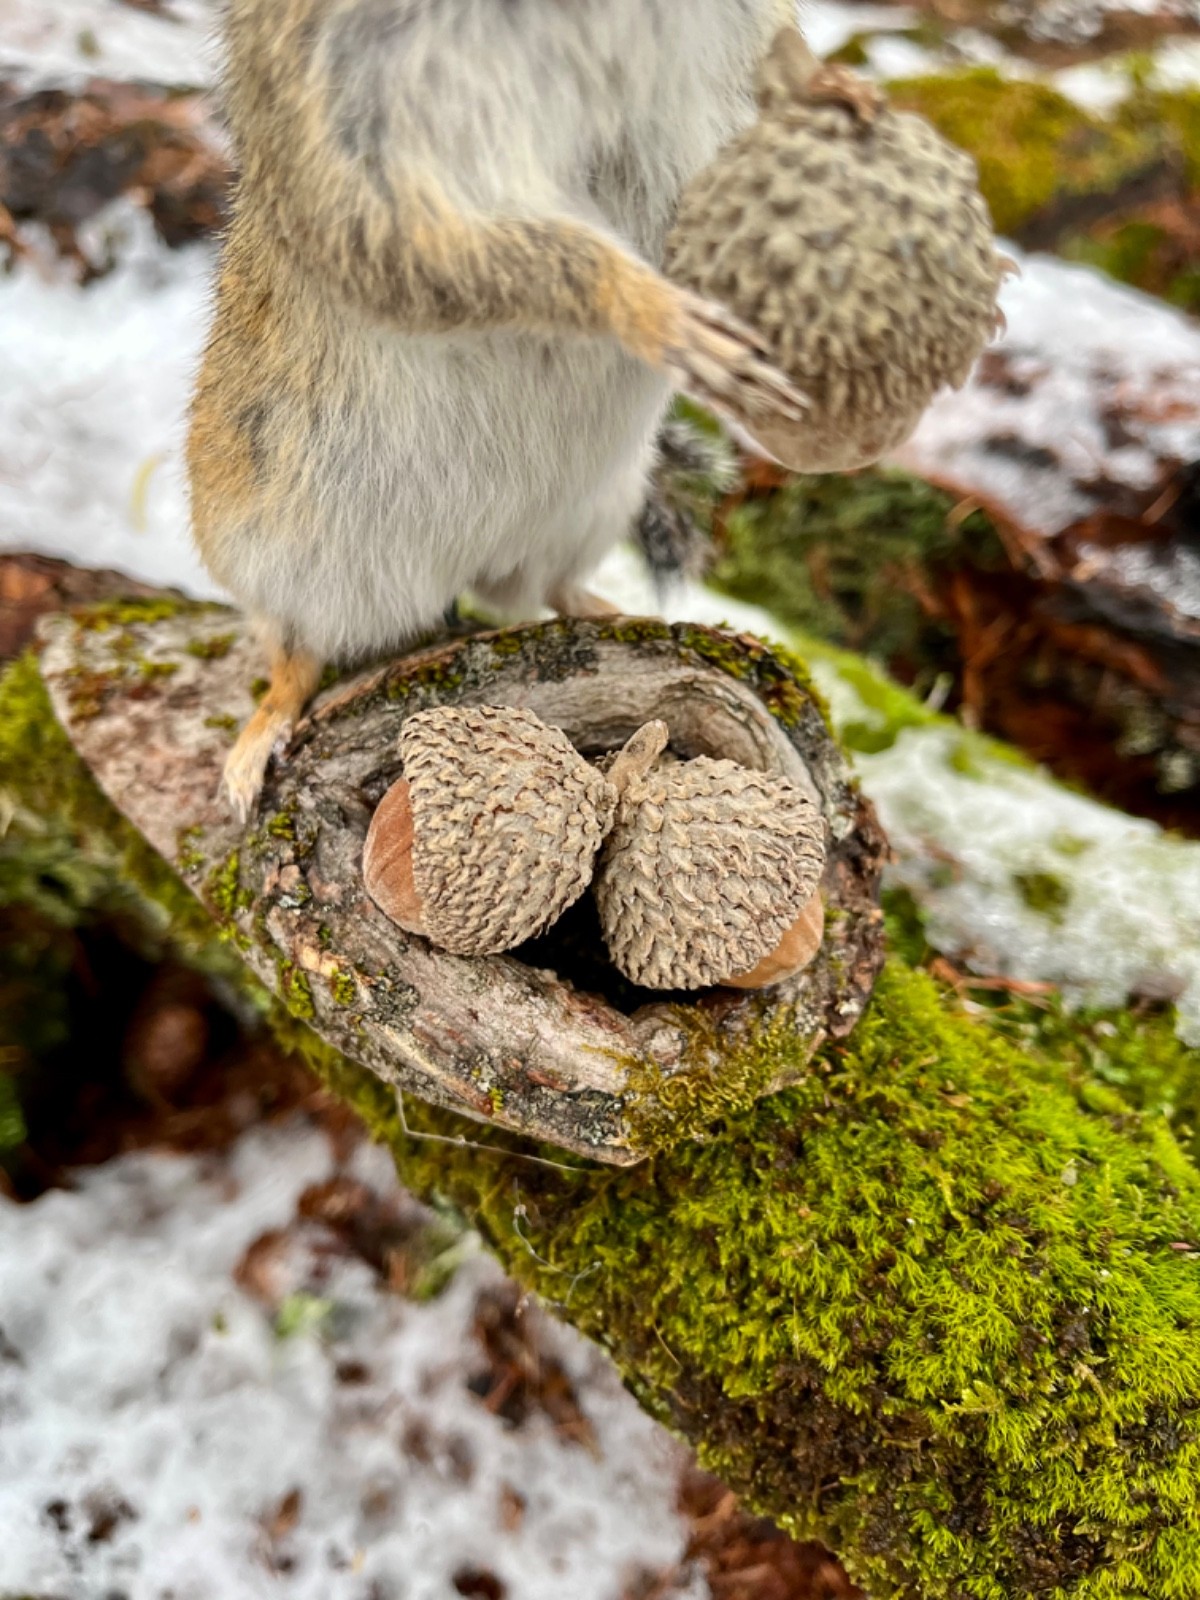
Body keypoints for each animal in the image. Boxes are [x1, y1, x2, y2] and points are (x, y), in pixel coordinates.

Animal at [187, 0, 807, 820]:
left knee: (550, 589)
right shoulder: (341, 118)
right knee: (295, 650)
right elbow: (423, 248)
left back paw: (622, 612)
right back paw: (263, 732)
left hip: (595, 508)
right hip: (278, 554)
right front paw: (656, 313)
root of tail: (465, 565)